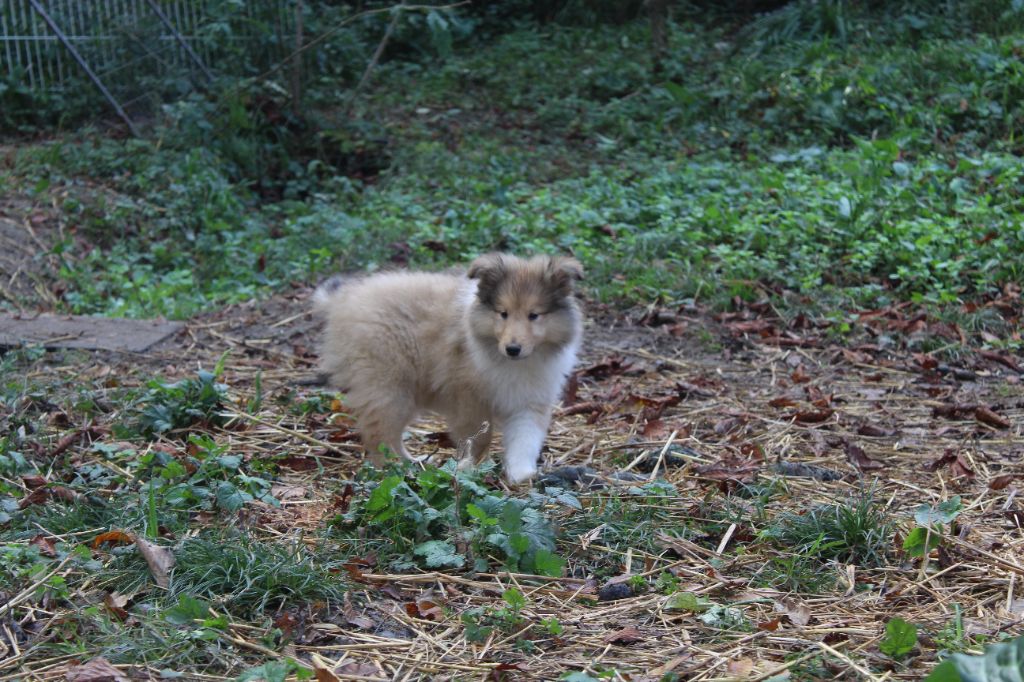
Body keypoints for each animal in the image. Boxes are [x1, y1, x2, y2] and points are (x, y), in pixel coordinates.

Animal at [311, 251, 585, 481]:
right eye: (503, 313)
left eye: (534, 315)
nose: (513, 348)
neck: (513, 363)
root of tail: (345, 298)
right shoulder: (469, 400)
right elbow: (479, 439)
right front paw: (468, 469)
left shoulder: (530, 402)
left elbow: (525, 440)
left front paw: (522, 475)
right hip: (388, 387)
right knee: (379, 434)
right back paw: (394, 469)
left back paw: (412, 462)